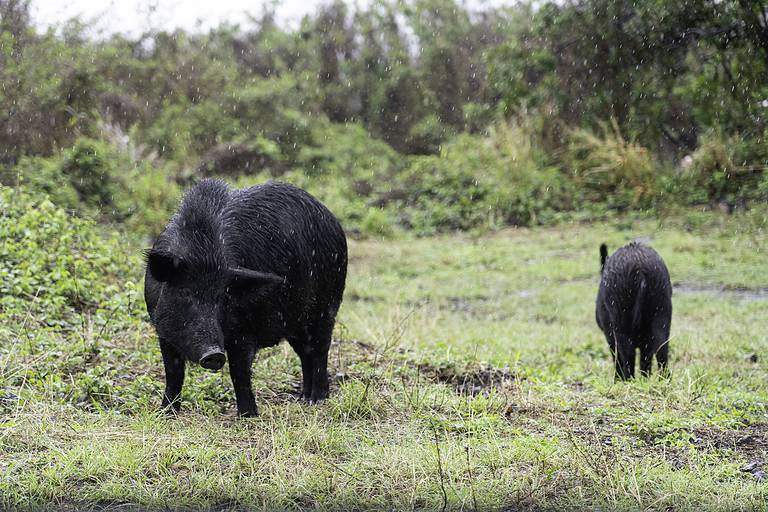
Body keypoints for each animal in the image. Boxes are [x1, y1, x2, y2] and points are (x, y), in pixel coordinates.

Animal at [144, 179, 347, 416]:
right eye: (185, 293)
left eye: (223, 297)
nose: (214, 354)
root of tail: (331, 219)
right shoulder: (163, 331)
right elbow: (173, 373)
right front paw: (166, 413)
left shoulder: (244, 328)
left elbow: (239, 372)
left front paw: (249, 416)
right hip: (296, 321)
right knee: (305, 352)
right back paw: (302, 398)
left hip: (328, 303)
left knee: (321, 349)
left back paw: (317, 399)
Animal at [595, 242, 672, 380]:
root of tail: (640, 269)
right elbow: (645, 360)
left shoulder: (609, 336)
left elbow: (616, 358)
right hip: (661, 312)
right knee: (661, 351)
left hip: (621, 317)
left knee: (627, 355)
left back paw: (627, 381)